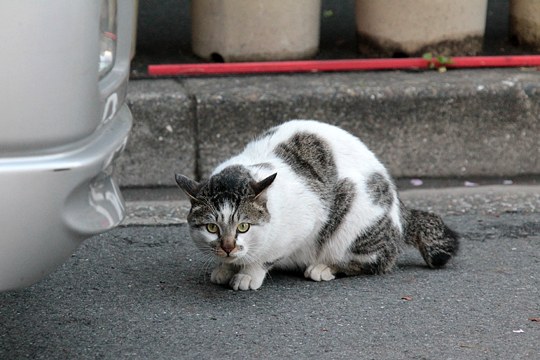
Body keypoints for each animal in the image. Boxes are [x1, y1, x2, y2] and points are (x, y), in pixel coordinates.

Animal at [175, 119, 458, 292]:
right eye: (212, 228)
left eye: (244, 226)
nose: (228, 247)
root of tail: (399, 208)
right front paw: (224, 268)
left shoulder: (304, 222)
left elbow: (265, 257)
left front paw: (247, 274)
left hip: (354, 218)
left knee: (376, 260)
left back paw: (324, 267)